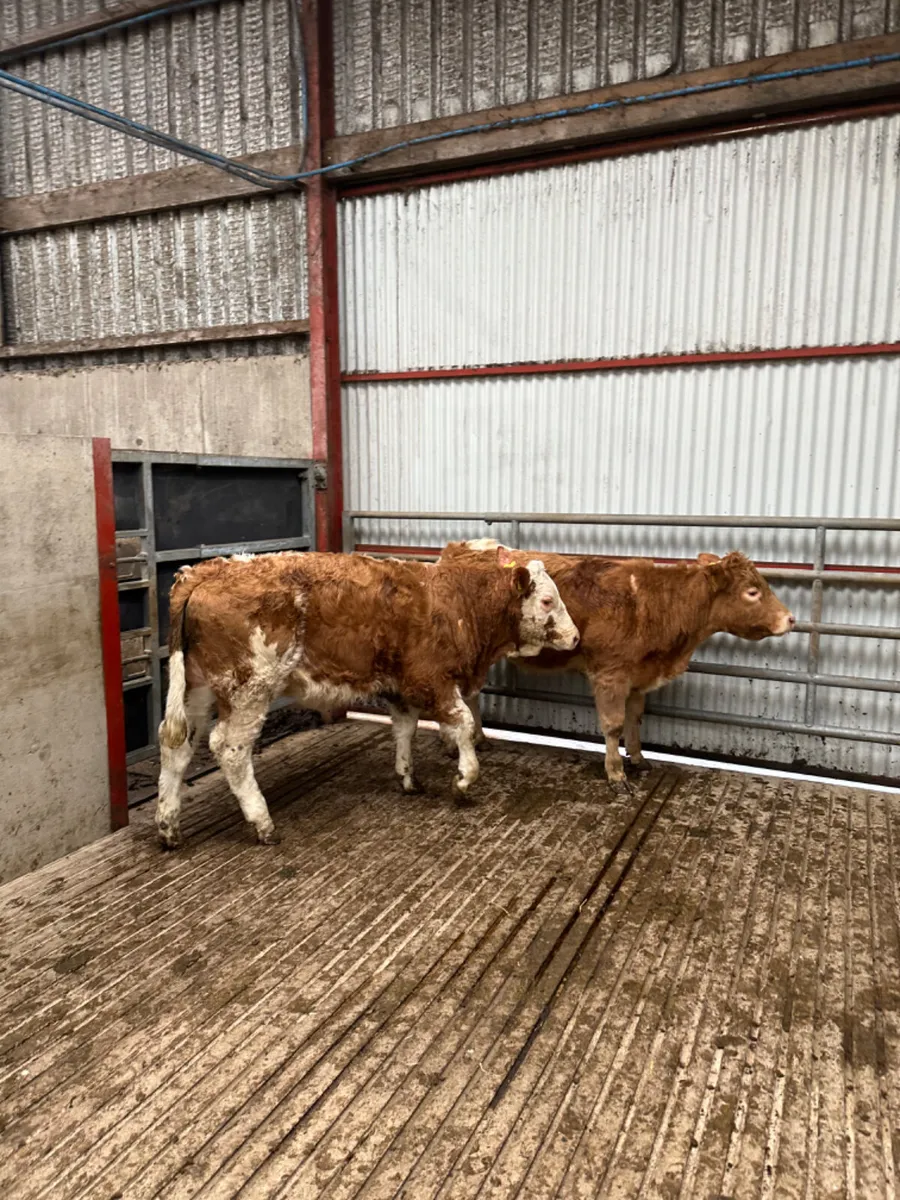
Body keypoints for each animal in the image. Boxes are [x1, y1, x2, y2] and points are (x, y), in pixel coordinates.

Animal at [155, 547, 579, 848]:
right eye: (546, 601)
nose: (575, 637)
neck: (458, 603)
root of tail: (205, 570)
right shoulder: (433, 679)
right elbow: (462, 725)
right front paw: (463, 782)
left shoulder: (401, 688)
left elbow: (405, 729)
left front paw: (408, 778)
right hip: (250, 688)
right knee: (230, 748)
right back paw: (262, 823)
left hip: (197, 689)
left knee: (178, 744)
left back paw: (168, 827)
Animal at [433, 540, 795, 792]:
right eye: (752, 591)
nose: (790, 619)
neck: (653, 603)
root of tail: (456, 550)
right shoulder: (610, 674)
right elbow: (613, 725)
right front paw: (616, 773)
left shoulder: (638, 675)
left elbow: (635, 719)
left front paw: (638, 758)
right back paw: (453, 744)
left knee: (472, 695)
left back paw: (479, 738)